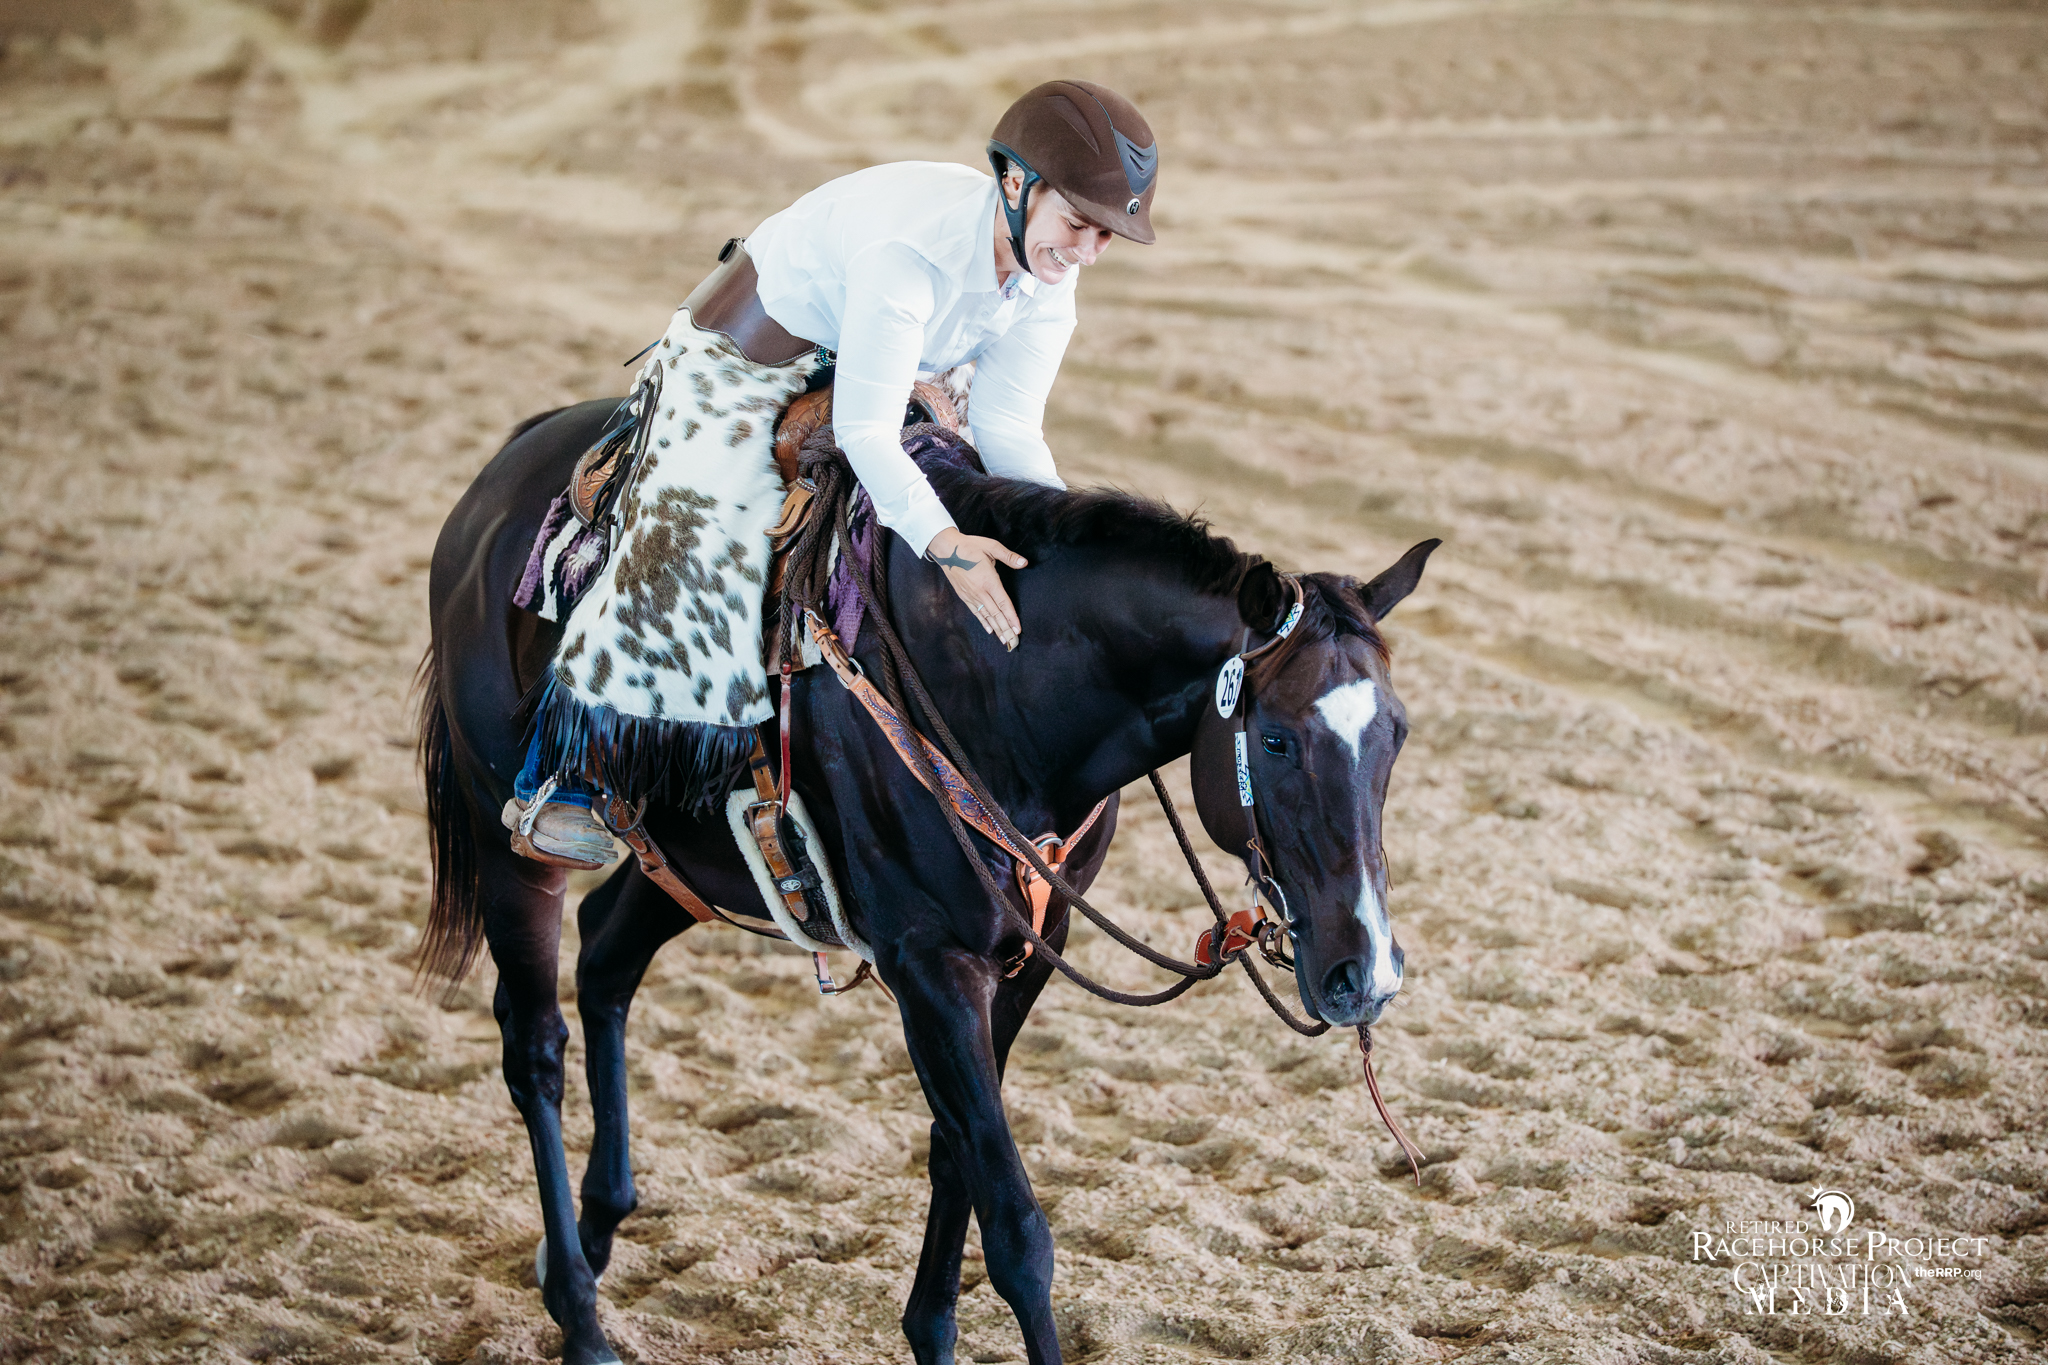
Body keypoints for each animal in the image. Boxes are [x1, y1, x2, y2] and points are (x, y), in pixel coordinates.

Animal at [416, 398, 1437, 1365]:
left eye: (1397, 733)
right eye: (1279, 738)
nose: (1365, 976)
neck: (1005, 691)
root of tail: (510, 465)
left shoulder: (1027, 952)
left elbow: (960, 1162)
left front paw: (931, 1327)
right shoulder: (931, 967)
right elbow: (1017, 1227)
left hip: (691, 862)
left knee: (606, 959)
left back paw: (593, 1234)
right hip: (510, 839)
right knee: (534, 1046)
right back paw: (580, 1317)